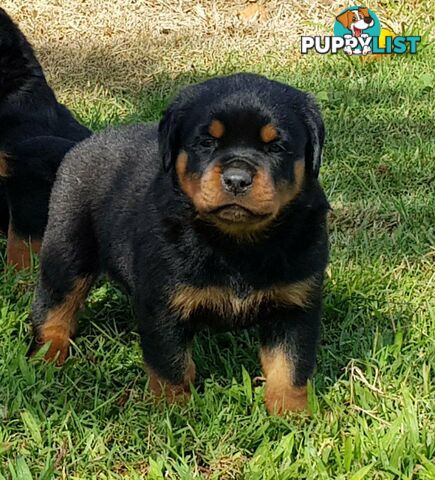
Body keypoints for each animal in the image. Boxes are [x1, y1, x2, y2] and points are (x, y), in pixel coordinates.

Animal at [32, 73, 328, 414]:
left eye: (277, 146)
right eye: (206, 142)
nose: (237, 180)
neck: (237, 243)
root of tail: (85, 143)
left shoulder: (295, 303)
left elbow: (290, 365)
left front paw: (292, 414)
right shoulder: (162, 302)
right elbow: (170, 363)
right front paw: (173, 410)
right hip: (67, 246)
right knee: (55, 303)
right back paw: (48, 353)